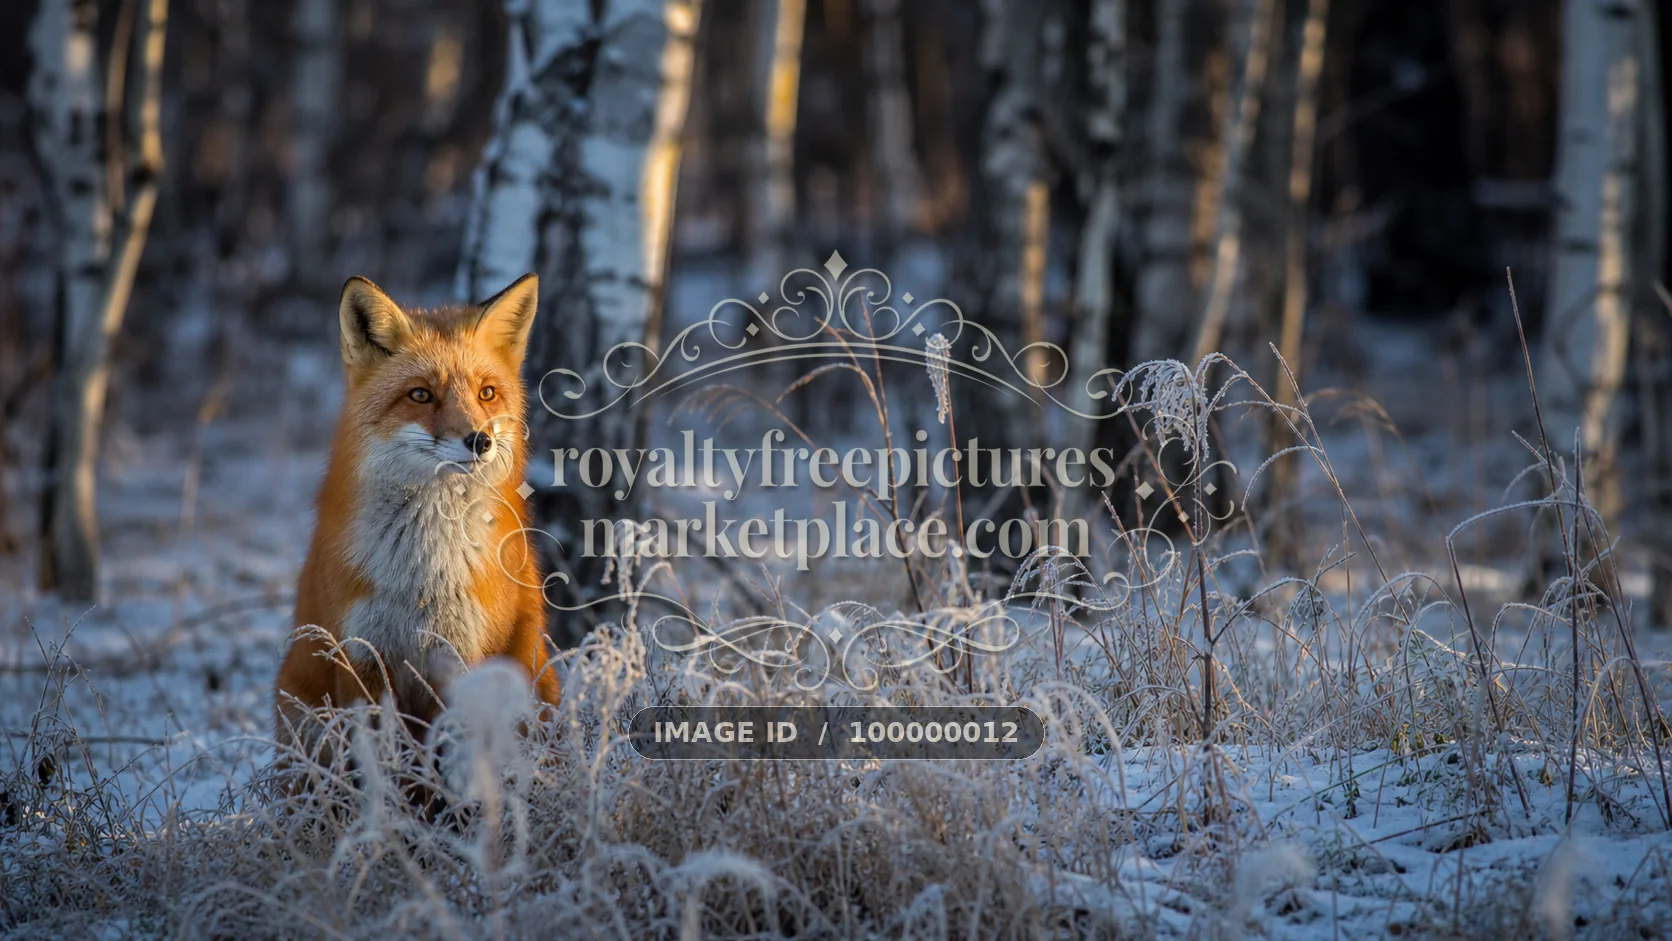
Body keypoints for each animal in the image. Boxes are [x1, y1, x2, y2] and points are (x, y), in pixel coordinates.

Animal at [274, 273, 561, 765]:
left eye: (486, 393)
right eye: (421, 395)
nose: (480, 441)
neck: (424, 574)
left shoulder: (462, 656)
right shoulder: (362, 657)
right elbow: (383, 766)